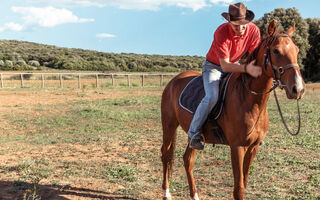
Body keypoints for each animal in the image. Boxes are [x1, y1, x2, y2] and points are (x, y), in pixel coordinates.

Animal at [160, 20, 304, 200]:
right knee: (165, 155)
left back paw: (195, 195)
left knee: (188, 159)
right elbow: (239, 189)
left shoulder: (253, 147)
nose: (297, 88)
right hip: (169, 126)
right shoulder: (237, 147)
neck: (250, 101)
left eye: (296, 50)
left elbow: (244, 182)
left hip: (194, 136)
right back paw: (166, 192)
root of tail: (173, 81)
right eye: (276, 50)